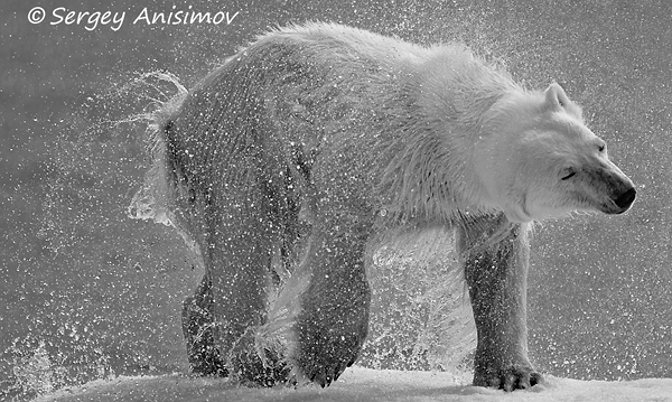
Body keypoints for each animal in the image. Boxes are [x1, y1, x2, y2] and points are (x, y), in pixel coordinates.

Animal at [130, 21, 636, 390]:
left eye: (599, 146)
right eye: (566, 173)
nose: (624, 192)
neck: (452, 128)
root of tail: (178, 113)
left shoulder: (478, 202)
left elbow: (496, 268)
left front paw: (512, 373)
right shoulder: (374, 158)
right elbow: (341, 244)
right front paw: (321, 357)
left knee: (262, 250)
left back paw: (208, 350)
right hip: (245, 146)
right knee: (248, 242)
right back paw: (261, 362)